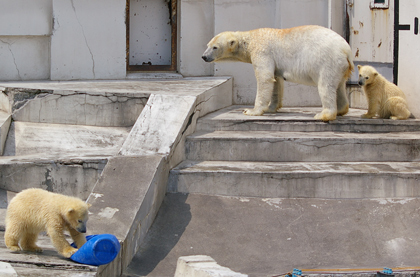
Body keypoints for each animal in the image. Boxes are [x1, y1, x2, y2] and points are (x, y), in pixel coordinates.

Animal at [202, 25, 352, 121]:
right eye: (207, 45)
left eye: (215, 47)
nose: (203, 57)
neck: (250, 39)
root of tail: (346, 50)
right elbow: (275, 82)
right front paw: (271, 108)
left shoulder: (262, 51)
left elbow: (264, 78)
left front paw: (250, 111)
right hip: (340, 68)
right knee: (339, 86)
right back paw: (341, 109)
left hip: (327, 61)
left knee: (325, 86)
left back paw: (323, 115)